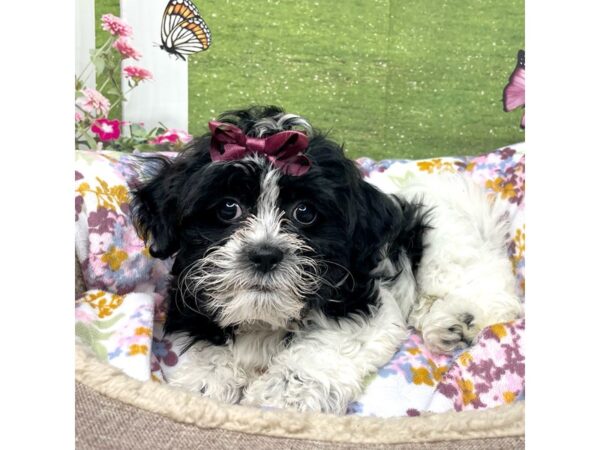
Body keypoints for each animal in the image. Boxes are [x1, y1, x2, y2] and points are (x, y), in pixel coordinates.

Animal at [130, 105, 520, 414]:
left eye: (304, 212)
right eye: (228, 207)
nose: (265, 254)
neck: (263, 319)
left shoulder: (363, 310)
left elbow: (318, 352)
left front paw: (281, 396)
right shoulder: (190, 304)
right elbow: (205, 348)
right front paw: (204, 383)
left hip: (444, 245)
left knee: (490, 292)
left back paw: (461, 319)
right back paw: (447, 325)